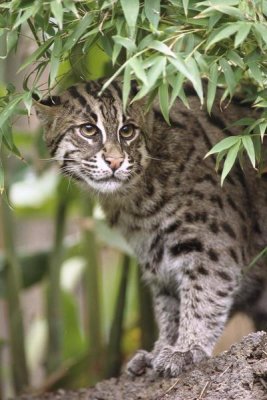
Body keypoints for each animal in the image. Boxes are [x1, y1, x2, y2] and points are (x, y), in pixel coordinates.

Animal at [35, 81, 267, 378]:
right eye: (88, 130)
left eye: (127, 131)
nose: (115, 162)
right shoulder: (153, 252)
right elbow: (169, 306)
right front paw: (162, 349)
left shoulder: (211, 244)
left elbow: (204, 294)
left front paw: (186, 348)